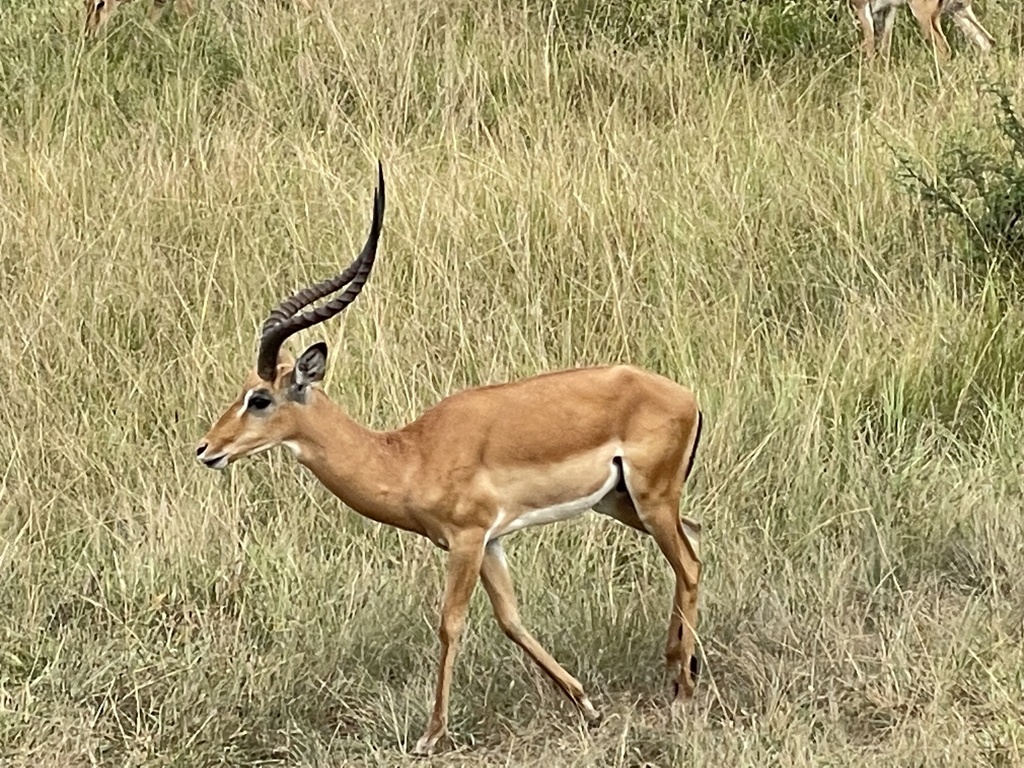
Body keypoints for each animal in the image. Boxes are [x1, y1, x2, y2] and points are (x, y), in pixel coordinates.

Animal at [195, 162, 705, 755]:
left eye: (259, 399)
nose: (206, 450)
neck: (410, 454)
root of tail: (685, 396)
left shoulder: (466, 539)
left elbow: (450, 622)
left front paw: (430, 734)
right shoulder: (491, 542)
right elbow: (510, 619)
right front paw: (586, 705)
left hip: (650, 499)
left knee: (688, 563)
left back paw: (683, 688)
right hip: (622, 503)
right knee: (695, 541)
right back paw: (679, 667)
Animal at [851, 0, 995, 59]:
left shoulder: (862, 6)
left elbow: (870, 49)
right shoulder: (889, 9)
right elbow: (884, 51)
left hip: (925, 15)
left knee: (943, 49)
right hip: (958, 10)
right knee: (986, 42)